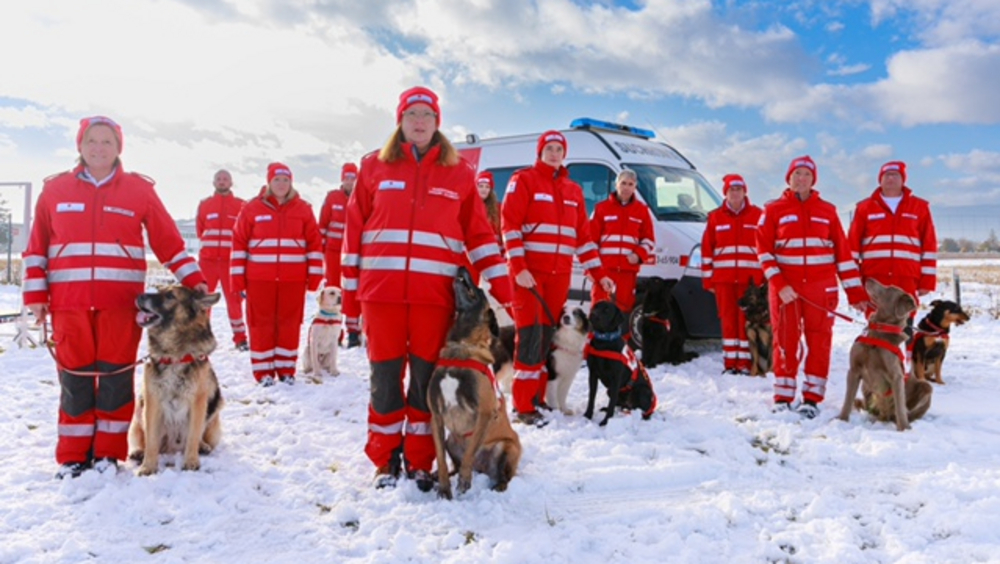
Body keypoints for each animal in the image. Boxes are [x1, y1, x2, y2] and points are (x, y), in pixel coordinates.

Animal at [129, 286, 225, 476]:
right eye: (158, 290)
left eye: (170, 296)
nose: (139, 296)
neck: (173, 356)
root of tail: (172, 447)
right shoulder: (152, 400)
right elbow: (151, 439)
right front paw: (148, 466)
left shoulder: (198, 401)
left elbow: (194, 434)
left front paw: (191, 461)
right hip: (138, 412)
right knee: (145, 439)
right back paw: (138, 452)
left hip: (215, 407)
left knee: (200, 434)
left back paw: (203, 446)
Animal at [426, 266, 524, 498]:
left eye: (479, 290)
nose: (461, 267)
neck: (461, 346)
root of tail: (483, 469)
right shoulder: (436, 414)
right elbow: (440, 459)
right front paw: (444, 488)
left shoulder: (485, 413)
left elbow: (470, 453)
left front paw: (464, 481)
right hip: (450, 441)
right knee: (454, 463)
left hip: (505, 447)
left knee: (504, 476)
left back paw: (497, 485)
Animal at [832, 278, 932, 432]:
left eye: (889, 288)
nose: (869, 279)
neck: (879, 330)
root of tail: (884, 416)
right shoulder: (854, 369)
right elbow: (848, 398)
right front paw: (841, 420)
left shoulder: (896, 375)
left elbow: (900, 406)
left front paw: (904, 429)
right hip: (866, 387)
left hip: (926, 386)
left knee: (907, 411)